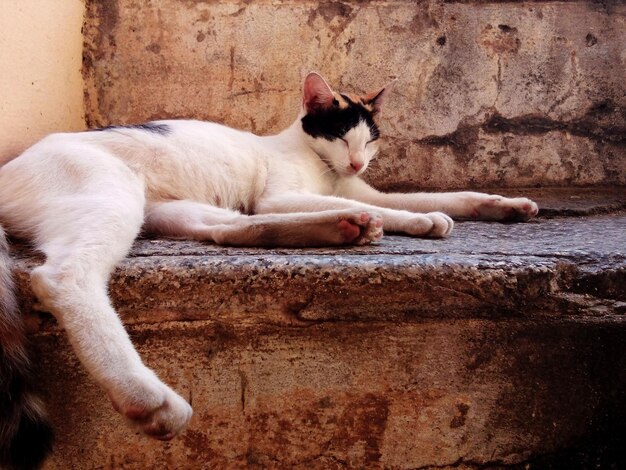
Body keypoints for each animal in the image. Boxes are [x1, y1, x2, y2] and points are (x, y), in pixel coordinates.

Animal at [0, 71, 536, 468]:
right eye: (340, 135)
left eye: (370, 140)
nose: (358, 163)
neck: (326, 171)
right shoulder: (284, 193)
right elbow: (384, 205)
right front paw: (417, 221)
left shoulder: (358, 188)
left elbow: (436, 196)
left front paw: (500, 206)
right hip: (112, 195)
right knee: (63, 277)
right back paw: (147, 398)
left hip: (173, 210)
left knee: (229, 228)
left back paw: (341, 228)